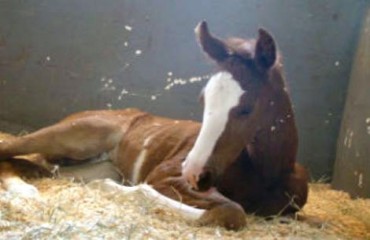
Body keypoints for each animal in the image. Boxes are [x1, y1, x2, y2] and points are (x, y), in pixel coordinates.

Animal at [0, 21, 306, 230]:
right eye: (203, 99)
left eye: (246, 108)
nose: (193, 172)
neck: (266, 174)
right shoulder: (166, 176)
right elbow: (230, 212)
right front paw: (128, 191)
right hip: (71, 135)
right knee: (9, 149)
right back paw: (24, 192)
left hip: (81, 165)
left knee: (34, 165)